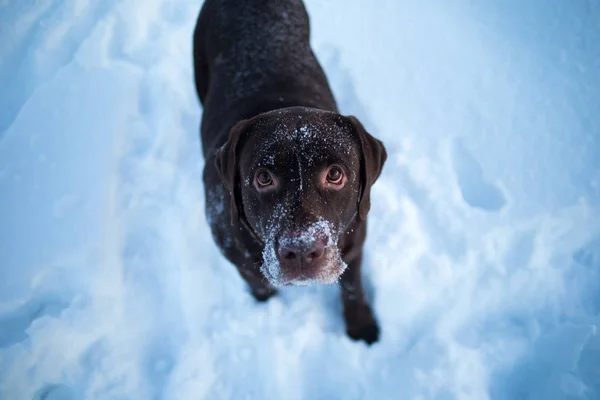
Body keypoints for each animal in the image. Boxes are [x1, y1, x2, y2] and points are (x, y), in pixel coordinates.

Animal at [195, 0, 386, 344]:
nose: (300, 250)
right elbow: (258, 283)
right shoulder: (237, 257)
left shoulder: (355, 242)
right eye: (263, 177)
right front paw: (266, 304)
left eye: (335, 175)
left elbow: (353, 286)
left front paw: (361, 325)